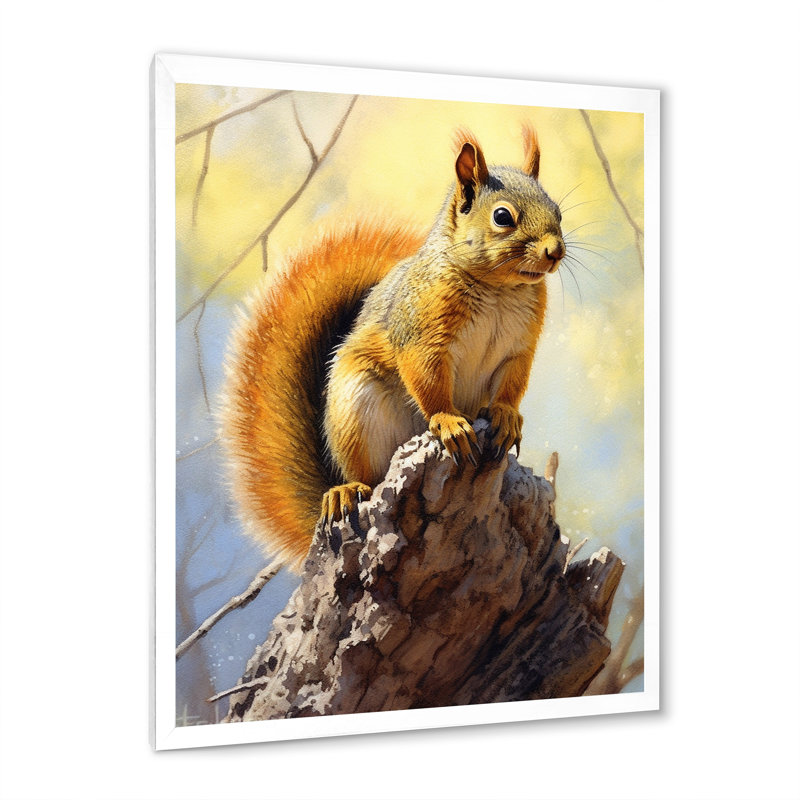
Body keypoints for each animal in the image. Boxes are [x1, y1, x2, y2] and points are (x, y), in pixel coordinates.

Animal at [220, 125, 565, 571]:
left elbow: (511, 385)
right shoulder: (421, 335)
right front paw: (448, 422)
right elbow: (428, 380)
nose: (555, 251)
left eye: (557, 210)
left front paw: (506, 416)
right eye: (502, 216)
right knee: (366, 476)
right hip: (355, 411)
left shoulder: (519, 350)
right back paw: (346, 491)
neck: (501, 290)